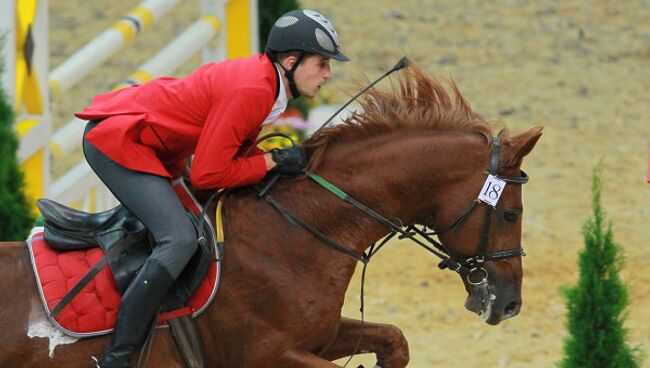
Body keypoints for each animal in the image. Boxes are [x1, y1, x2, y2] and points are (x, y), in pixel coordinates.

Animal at [0, 66, 540, 368]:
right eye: (510, 213)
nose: (511, 304)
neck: (298, 232)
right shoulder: (263, 354)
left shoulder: (318, 336)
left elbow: (395, 342)